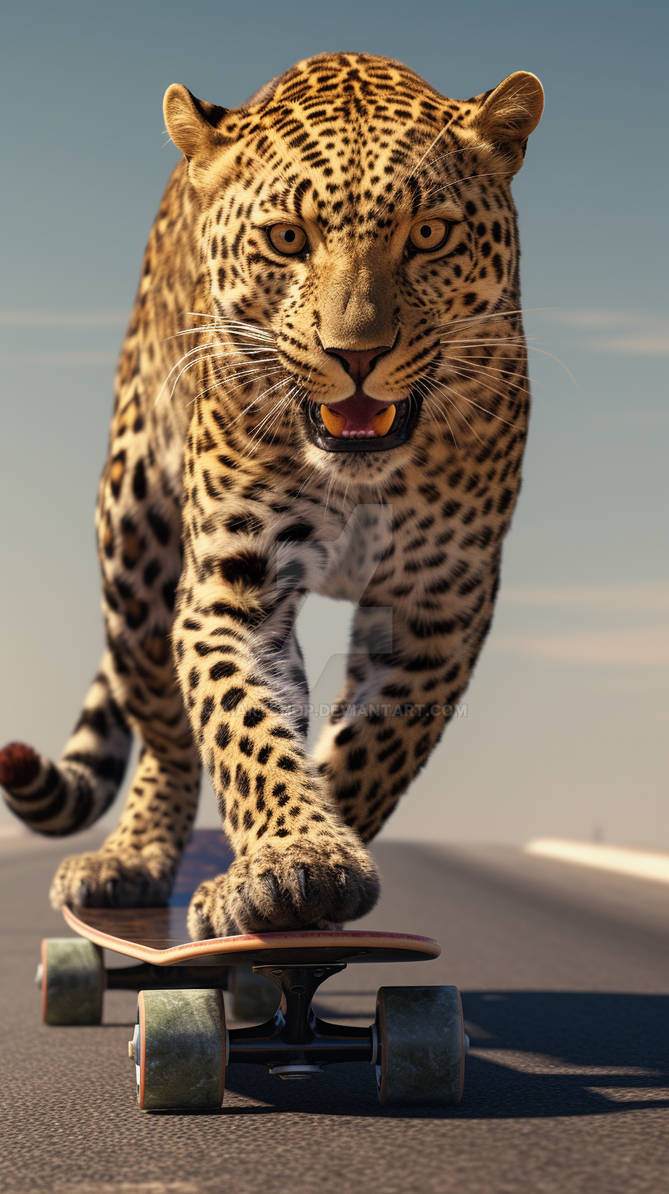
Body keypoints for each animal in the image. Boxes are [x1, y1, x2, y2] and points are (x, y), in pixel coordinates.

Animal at [0, 52, 543, 937]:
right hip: (131, 546)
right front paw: (296, 861)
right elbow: (239, 723)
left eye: (428, 234)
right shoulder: (235, 580)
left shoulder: (438, 604)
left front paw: (308, 870)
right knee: (164, 725)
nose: (355, 354)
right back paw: (132, 858)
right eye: (288, 239)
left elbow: (372, 751)